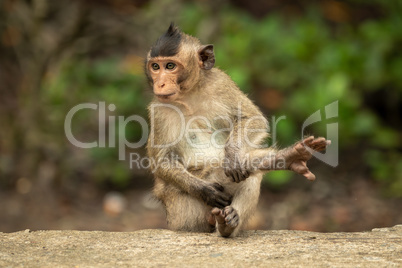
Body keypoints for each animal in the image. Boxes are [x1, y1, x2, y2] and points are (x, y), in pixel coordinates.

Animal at [144, 23, 330, 237]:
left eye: (170, 66)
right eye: (155, 67)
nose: (160, 83)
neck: (189, 95)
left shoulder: (221, 83)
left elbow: (252, 119)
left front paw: (233, 156)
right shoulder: (158, 111)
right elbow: (162, 161)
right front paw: (205, 190)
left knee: (248, 173)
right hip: (182, 212)